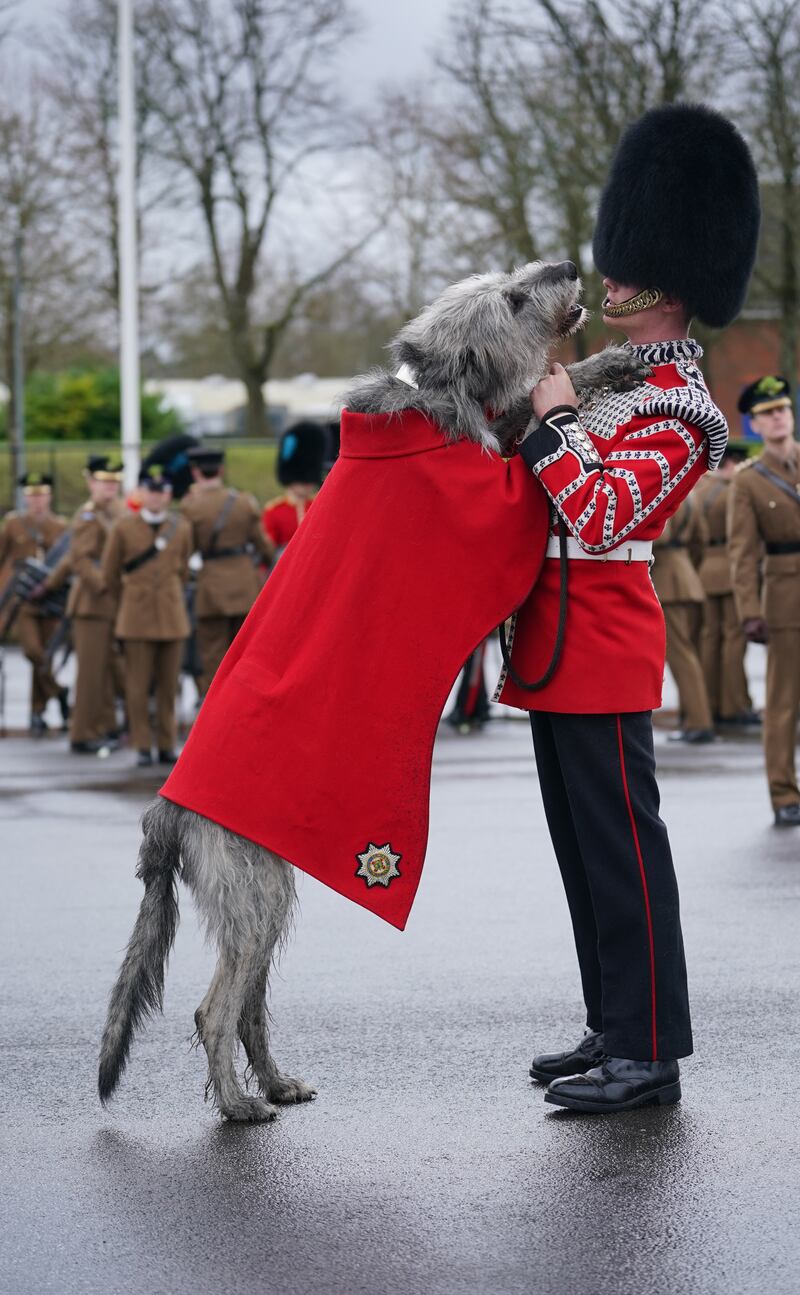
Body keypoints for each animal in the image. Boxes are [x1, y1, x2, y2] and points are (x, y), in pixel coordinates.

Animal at [98, 260, 647, 1124]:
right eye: (511, 299)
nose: (563, 266)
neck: (430, 400)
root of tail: (167, 813)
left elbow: (522, 412)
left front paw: (606, 366)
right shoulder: (489, 497)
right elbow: (526, 445)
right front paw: (578, 381)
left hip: (269, 889)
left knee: (250, 1004)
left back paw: (274, 1082)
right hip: (251, 888)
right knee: (216, 1005)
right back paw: (238, 1104)